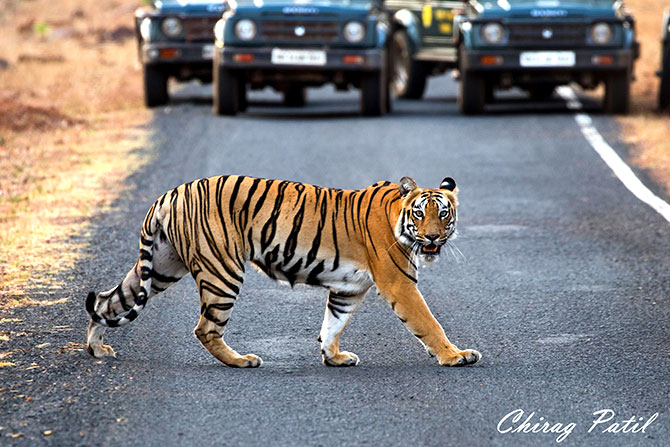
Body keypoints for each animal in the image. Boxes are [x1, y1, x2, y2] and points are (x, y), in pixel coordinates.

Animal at [86, 174, 484, 368]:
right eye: (420, 213)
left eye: (443, 213)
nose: (432, 236)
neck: (397, 217)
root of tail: (168, 194)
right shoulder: (399, 283)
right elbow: (428, 322)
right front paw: (455, 356)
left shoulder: (348, 289)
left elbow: (332, 323)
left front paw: (334, 357)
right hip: (222, 271)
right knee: (205, 328)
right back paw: (241, 361)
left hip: (161, 267)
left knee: (106, 301)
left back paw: (97, 349)